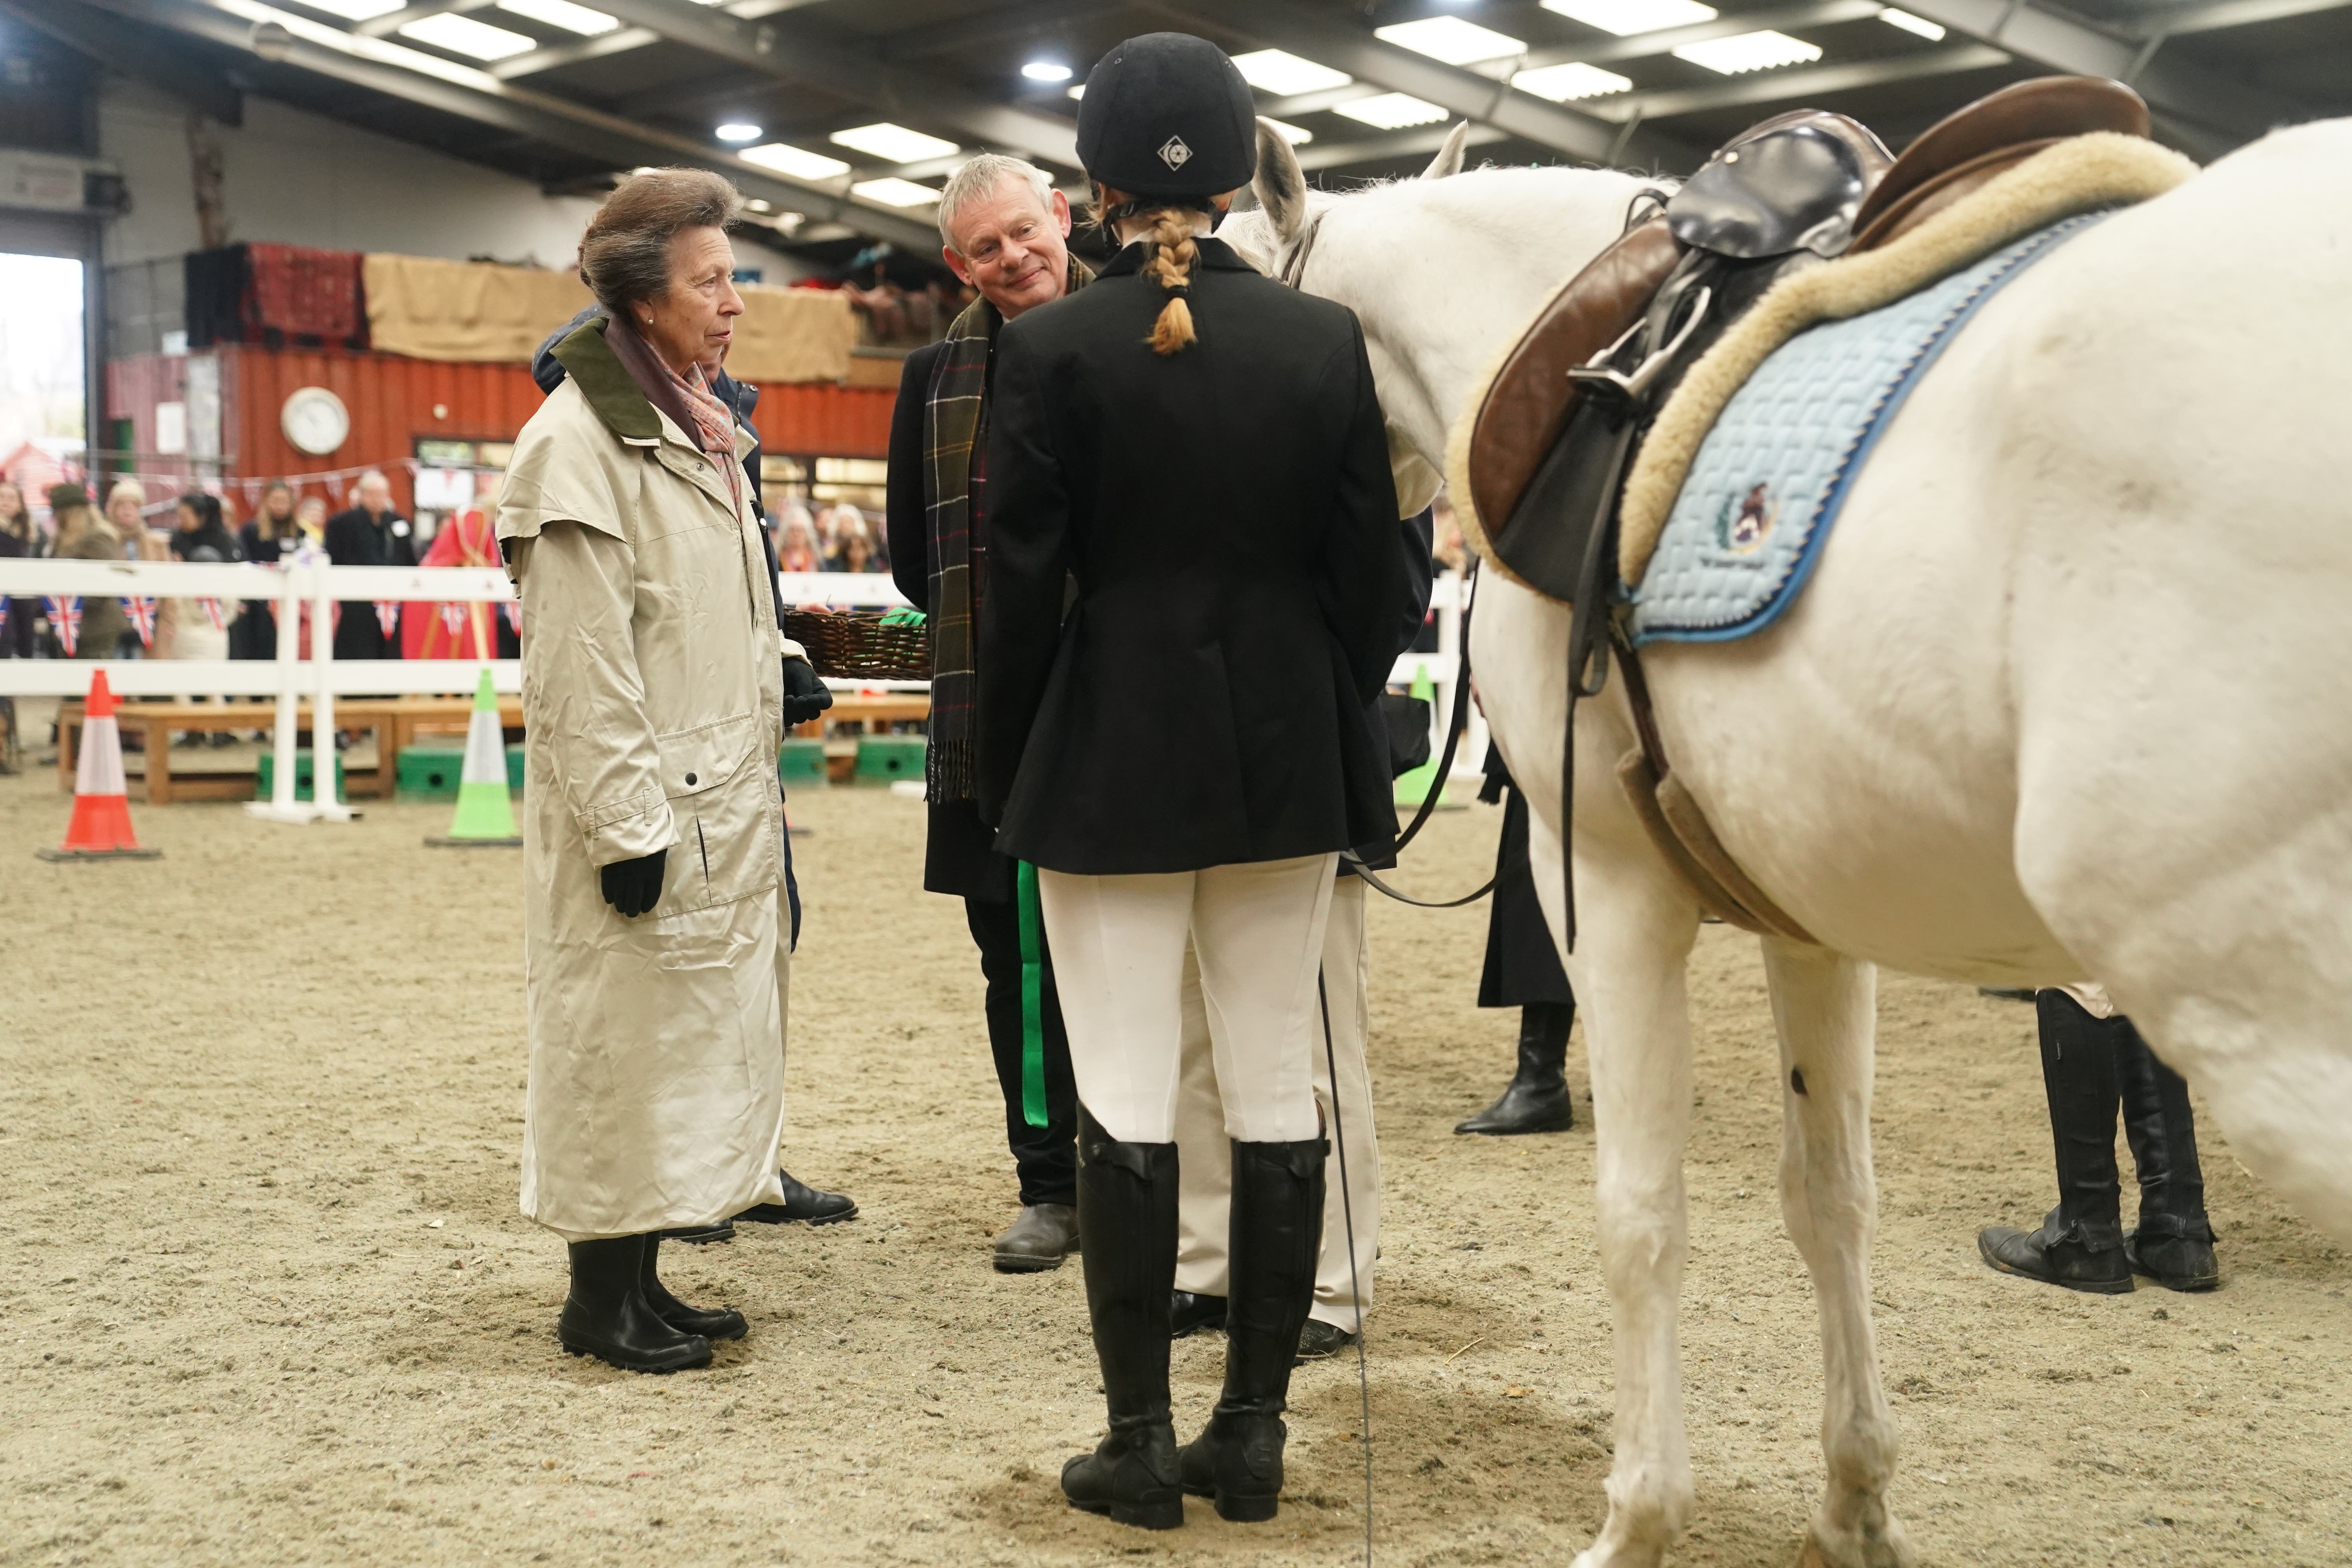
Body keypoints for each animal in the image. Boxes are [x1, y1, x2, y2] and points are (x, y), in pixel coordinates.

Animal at [1223, 113, 2352, 1568]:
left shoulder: (1604, 891)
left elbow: (1640, 1212)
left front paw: (1638, 1517)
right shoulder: (1811, 921)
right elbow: (1830, 1199)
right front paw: (1853, 1503)